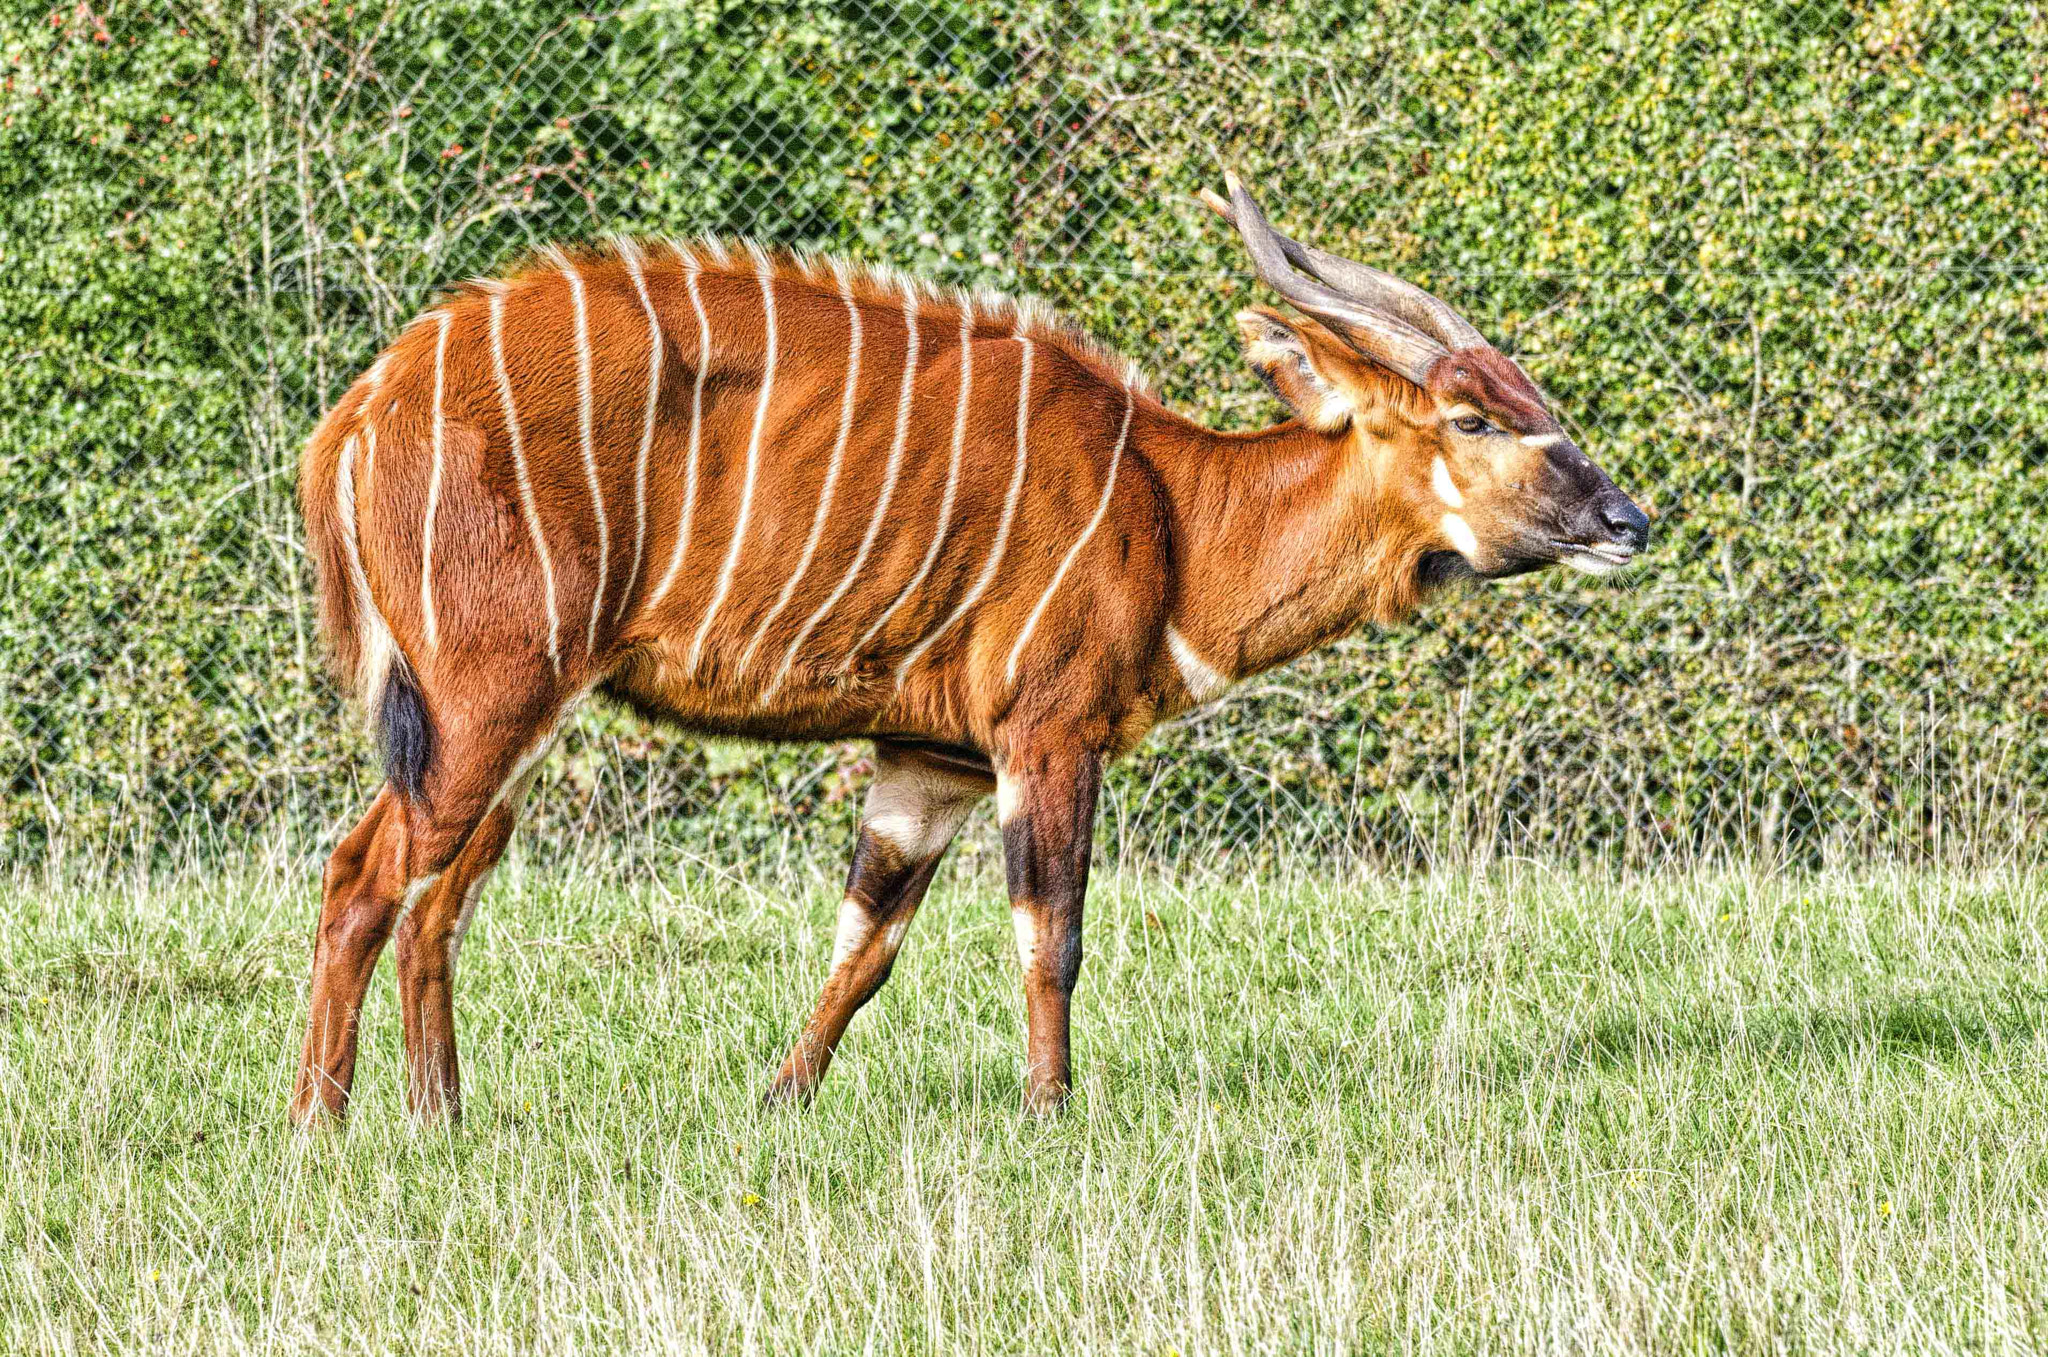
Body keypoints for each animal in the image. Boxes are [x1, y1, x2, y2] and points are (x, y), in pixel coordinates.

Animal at [291, 173, 1650, 1124]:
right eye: (1473, 417)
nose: (1624, 521)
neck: (1171, 507)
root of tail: (358, 412)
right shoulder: (1045, 734)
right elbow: (1051, 934)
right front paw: (1051, 1114)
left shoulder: (927, 758)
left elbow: (865, 944)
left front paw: (777, 1100)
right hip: (488, 695)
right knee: (364, 876)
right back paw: (321, 1124)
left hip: (518, 721)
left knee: (435, 900)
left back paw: (443, 1117)